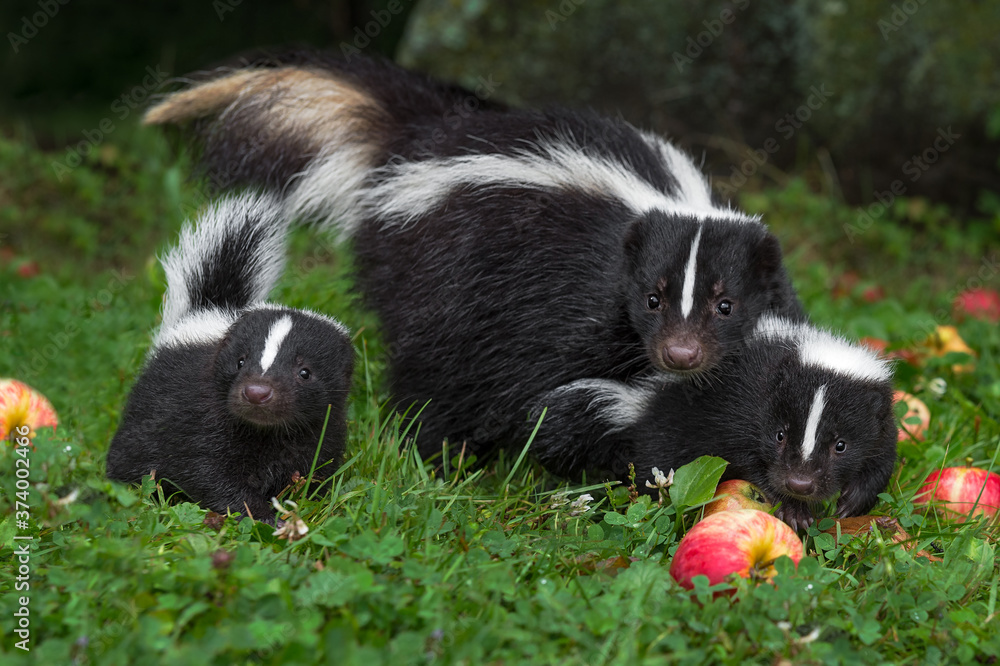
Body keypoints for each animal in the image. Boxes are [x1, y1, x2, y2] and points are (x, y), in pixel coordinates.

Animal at [104, 192, 356, 520]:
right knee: (134, 451)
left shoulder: (322, 428)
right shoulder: (203, 418)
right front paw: (262, 514)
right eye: (240, 362)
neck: (268, 433)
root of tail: (207, 311)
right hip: (147, 412)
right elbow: (209, 472)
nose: (256, 392)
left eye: (305, 372)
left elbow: (316, 470)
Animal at [143, 53, 804, 462]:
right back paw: (434, 454)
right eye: (651, 298)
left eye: (726, 304)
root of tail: (420, 139)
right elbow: (557, 392)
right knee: (435, 372)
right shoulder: (572, 302)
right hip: (440, 275)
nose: (681, 354)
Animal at [532, 312, 900, 528]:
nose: (799, 483)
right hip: (668, 437)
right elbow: (752, 462)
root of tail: (641, 402)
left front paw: (851, 502)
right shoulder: (742, 409)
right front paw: (794, 510)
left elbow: (882, 459)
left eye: (841, 445)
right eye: (779, 435)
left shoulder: (883, 422)